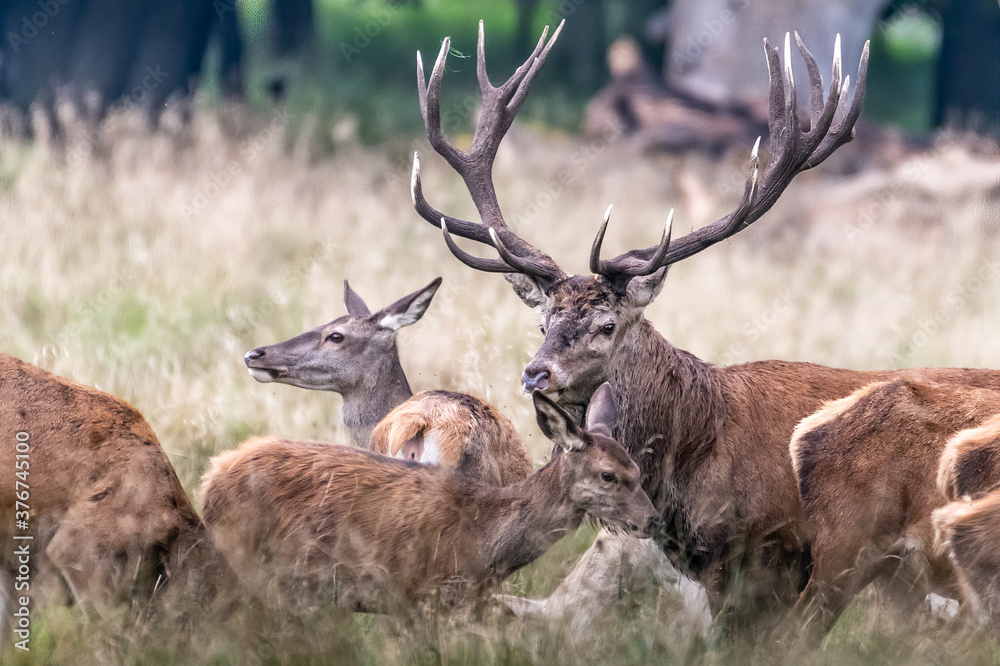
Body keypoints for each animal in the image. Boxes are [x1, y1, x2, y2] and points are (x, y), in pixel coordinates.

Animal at [199, 383, 657, 614]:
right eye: (608, 475)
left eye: (638, 469)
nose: (652, 520)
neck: (482, 537)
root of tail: (211, 477)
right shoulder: (417, 592)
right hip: (245, 559)